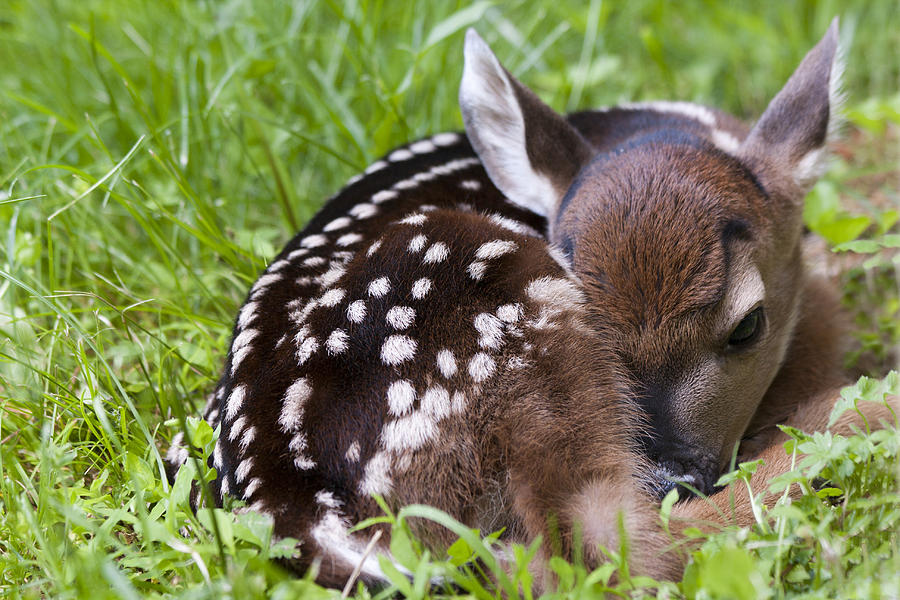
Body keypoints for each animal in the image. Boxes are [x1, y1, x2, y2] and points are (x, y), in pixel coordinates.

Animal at [172, 17, 896, 584]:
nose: (670, 478)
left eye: (747, 327)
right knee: (604, 542)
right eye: (599, 321)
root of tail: (296, 503)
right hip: (507, 313)